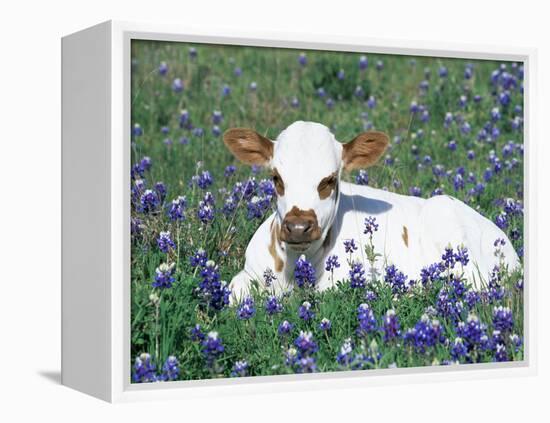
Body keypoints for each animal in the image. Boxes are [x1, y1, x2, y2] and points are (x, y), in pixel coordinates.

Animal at [222, 121, 520, 302]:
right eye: (276, 178)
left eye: (330, 180)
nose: (297, 227)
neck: (295, 264)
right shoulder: (246, 276)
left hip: (446, 217)